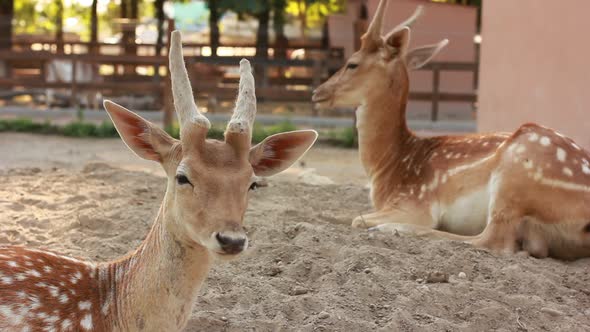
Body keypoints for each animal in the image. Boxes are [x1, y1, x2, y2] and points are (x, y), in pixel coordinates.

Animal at [312, 0, 588, 260]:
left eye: (352, 64)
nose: (317, 92)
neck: (387, 169)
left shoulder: (414, 202)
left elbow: (356, 219)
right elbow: (332, 212)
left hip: (515, 175)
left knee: (493, 241)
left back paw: (391, 229)